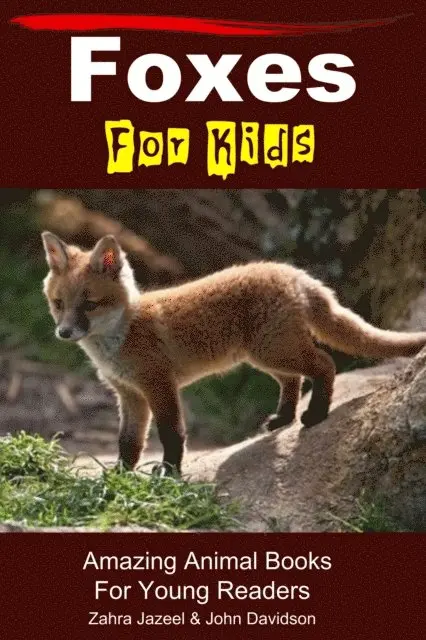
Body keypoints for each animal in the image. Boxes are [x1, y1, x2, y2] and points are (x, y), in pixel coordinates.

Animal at [41, 231, 426, 476]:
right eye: (59, 304)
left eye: (89, 305)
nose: (63, 333)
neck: (121, 335)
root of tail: (294, 273)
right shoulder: (129, 395)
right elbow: (128, 443)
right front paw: (119, 477)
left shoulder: (159, 386)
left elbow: (171, 434)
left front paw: (169, 473)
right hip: (266, 355)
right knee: (295, 380)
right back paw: (283, 419)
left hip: (274, 351)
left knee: (325, 365)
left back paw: (315, 415)